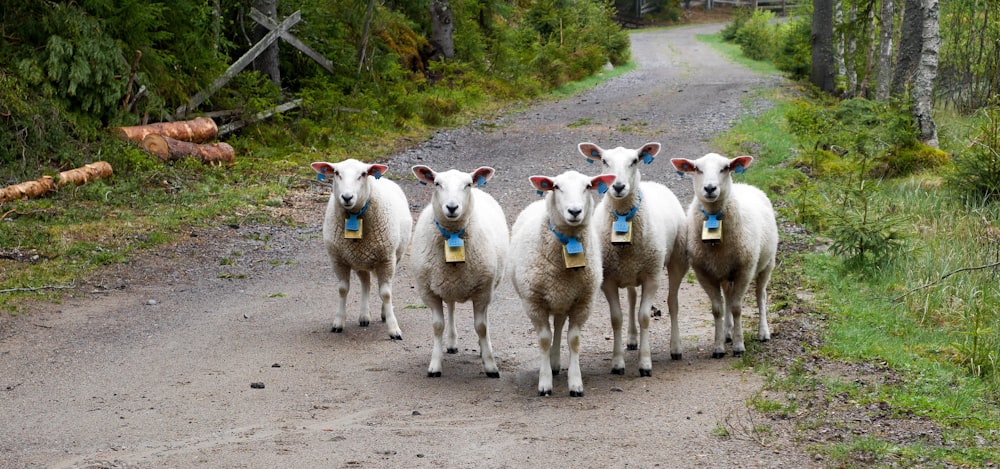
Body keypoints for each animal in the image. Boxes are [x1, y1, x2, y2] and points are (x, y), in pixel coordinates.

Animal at [308, 159, 410, 338]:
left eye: (363, 174)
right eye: (336, 173)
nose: (347, 197)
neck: (354, 215)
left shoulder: (386, 259)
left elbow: (386, 293)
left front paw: (393, 328)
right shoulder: (338, 260)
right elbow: (342, 289)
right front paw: (338, 322)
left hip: (395, 256)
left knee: (386, 286)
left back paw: (383, 313)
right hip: (360, 260)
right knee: (366, 283)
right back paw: (364, 316)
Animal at [410, 165, 512, 376]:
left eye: (467, 184)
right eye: (437, 183)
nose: (451, 207)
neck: (453, 235)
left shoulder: (483, 291)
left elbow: (481, 327)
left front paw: (490, 365)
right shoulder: (428, 291)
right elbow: (437, 326)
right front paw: (435, 365)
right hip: (447, 284)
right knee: (451, 306)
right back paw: (451, 343)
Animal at [508, 169, 616, 394]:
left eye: (587, 186)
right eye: (557, 187)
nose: (574, 211)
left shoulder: (583, 302)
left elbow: (573, 340)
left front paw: (575, 383)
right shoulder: (534, 302)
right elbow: (543, 339)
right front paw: (544, 383)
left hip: (563, 298)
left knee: (558, 326)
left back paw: (556, 362)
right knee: (554, 329)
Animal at [580, 140, 688, 376]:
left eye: (634, 161)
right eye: (604, 161)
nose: (618, 187)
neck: (622, 216)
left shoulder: (652, 277)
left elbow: (644, 317)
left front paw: (645, 363)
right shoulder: (608, 280)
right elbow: (616, 318)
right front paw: (617, 362)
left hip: (676, 261)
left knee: (673, 302)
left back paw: (676, 348)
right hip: (630, 270)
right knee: (631, 299)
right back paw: (631, 339)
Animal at [672, 152, 780, 356]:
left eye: (725, 168)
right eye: (697, 169)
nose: (709, 188)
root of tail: (745, 185)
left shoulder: (745, 270)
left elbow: (737, 308)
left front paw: (739, 346)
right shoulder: (704, 273)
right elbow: (717, 309)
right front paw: (719, 346)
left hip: (767, 263)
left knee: (760, 295)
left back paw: (763, 332)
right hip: (724, 272)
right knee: (728, 297)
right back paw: (727, 333)